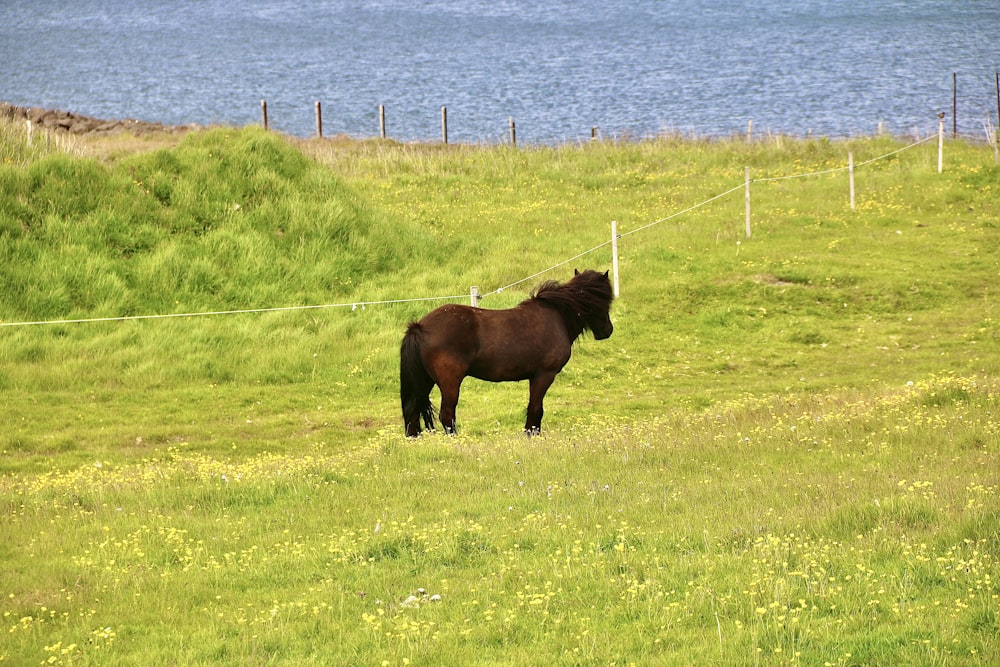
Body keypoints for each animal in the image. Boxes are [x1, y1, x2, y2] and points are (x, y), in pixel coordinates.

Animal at [398, 268, 608, 436]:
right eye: (605, 299)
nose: (607, 331)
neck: (557, 317)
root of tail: (420, 327)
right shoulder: (544, 375)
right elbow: (536, 409)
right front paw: (532, 435)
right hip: (449, 383)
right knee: (447, 415)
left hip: (424, 380)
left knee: (412, 410)